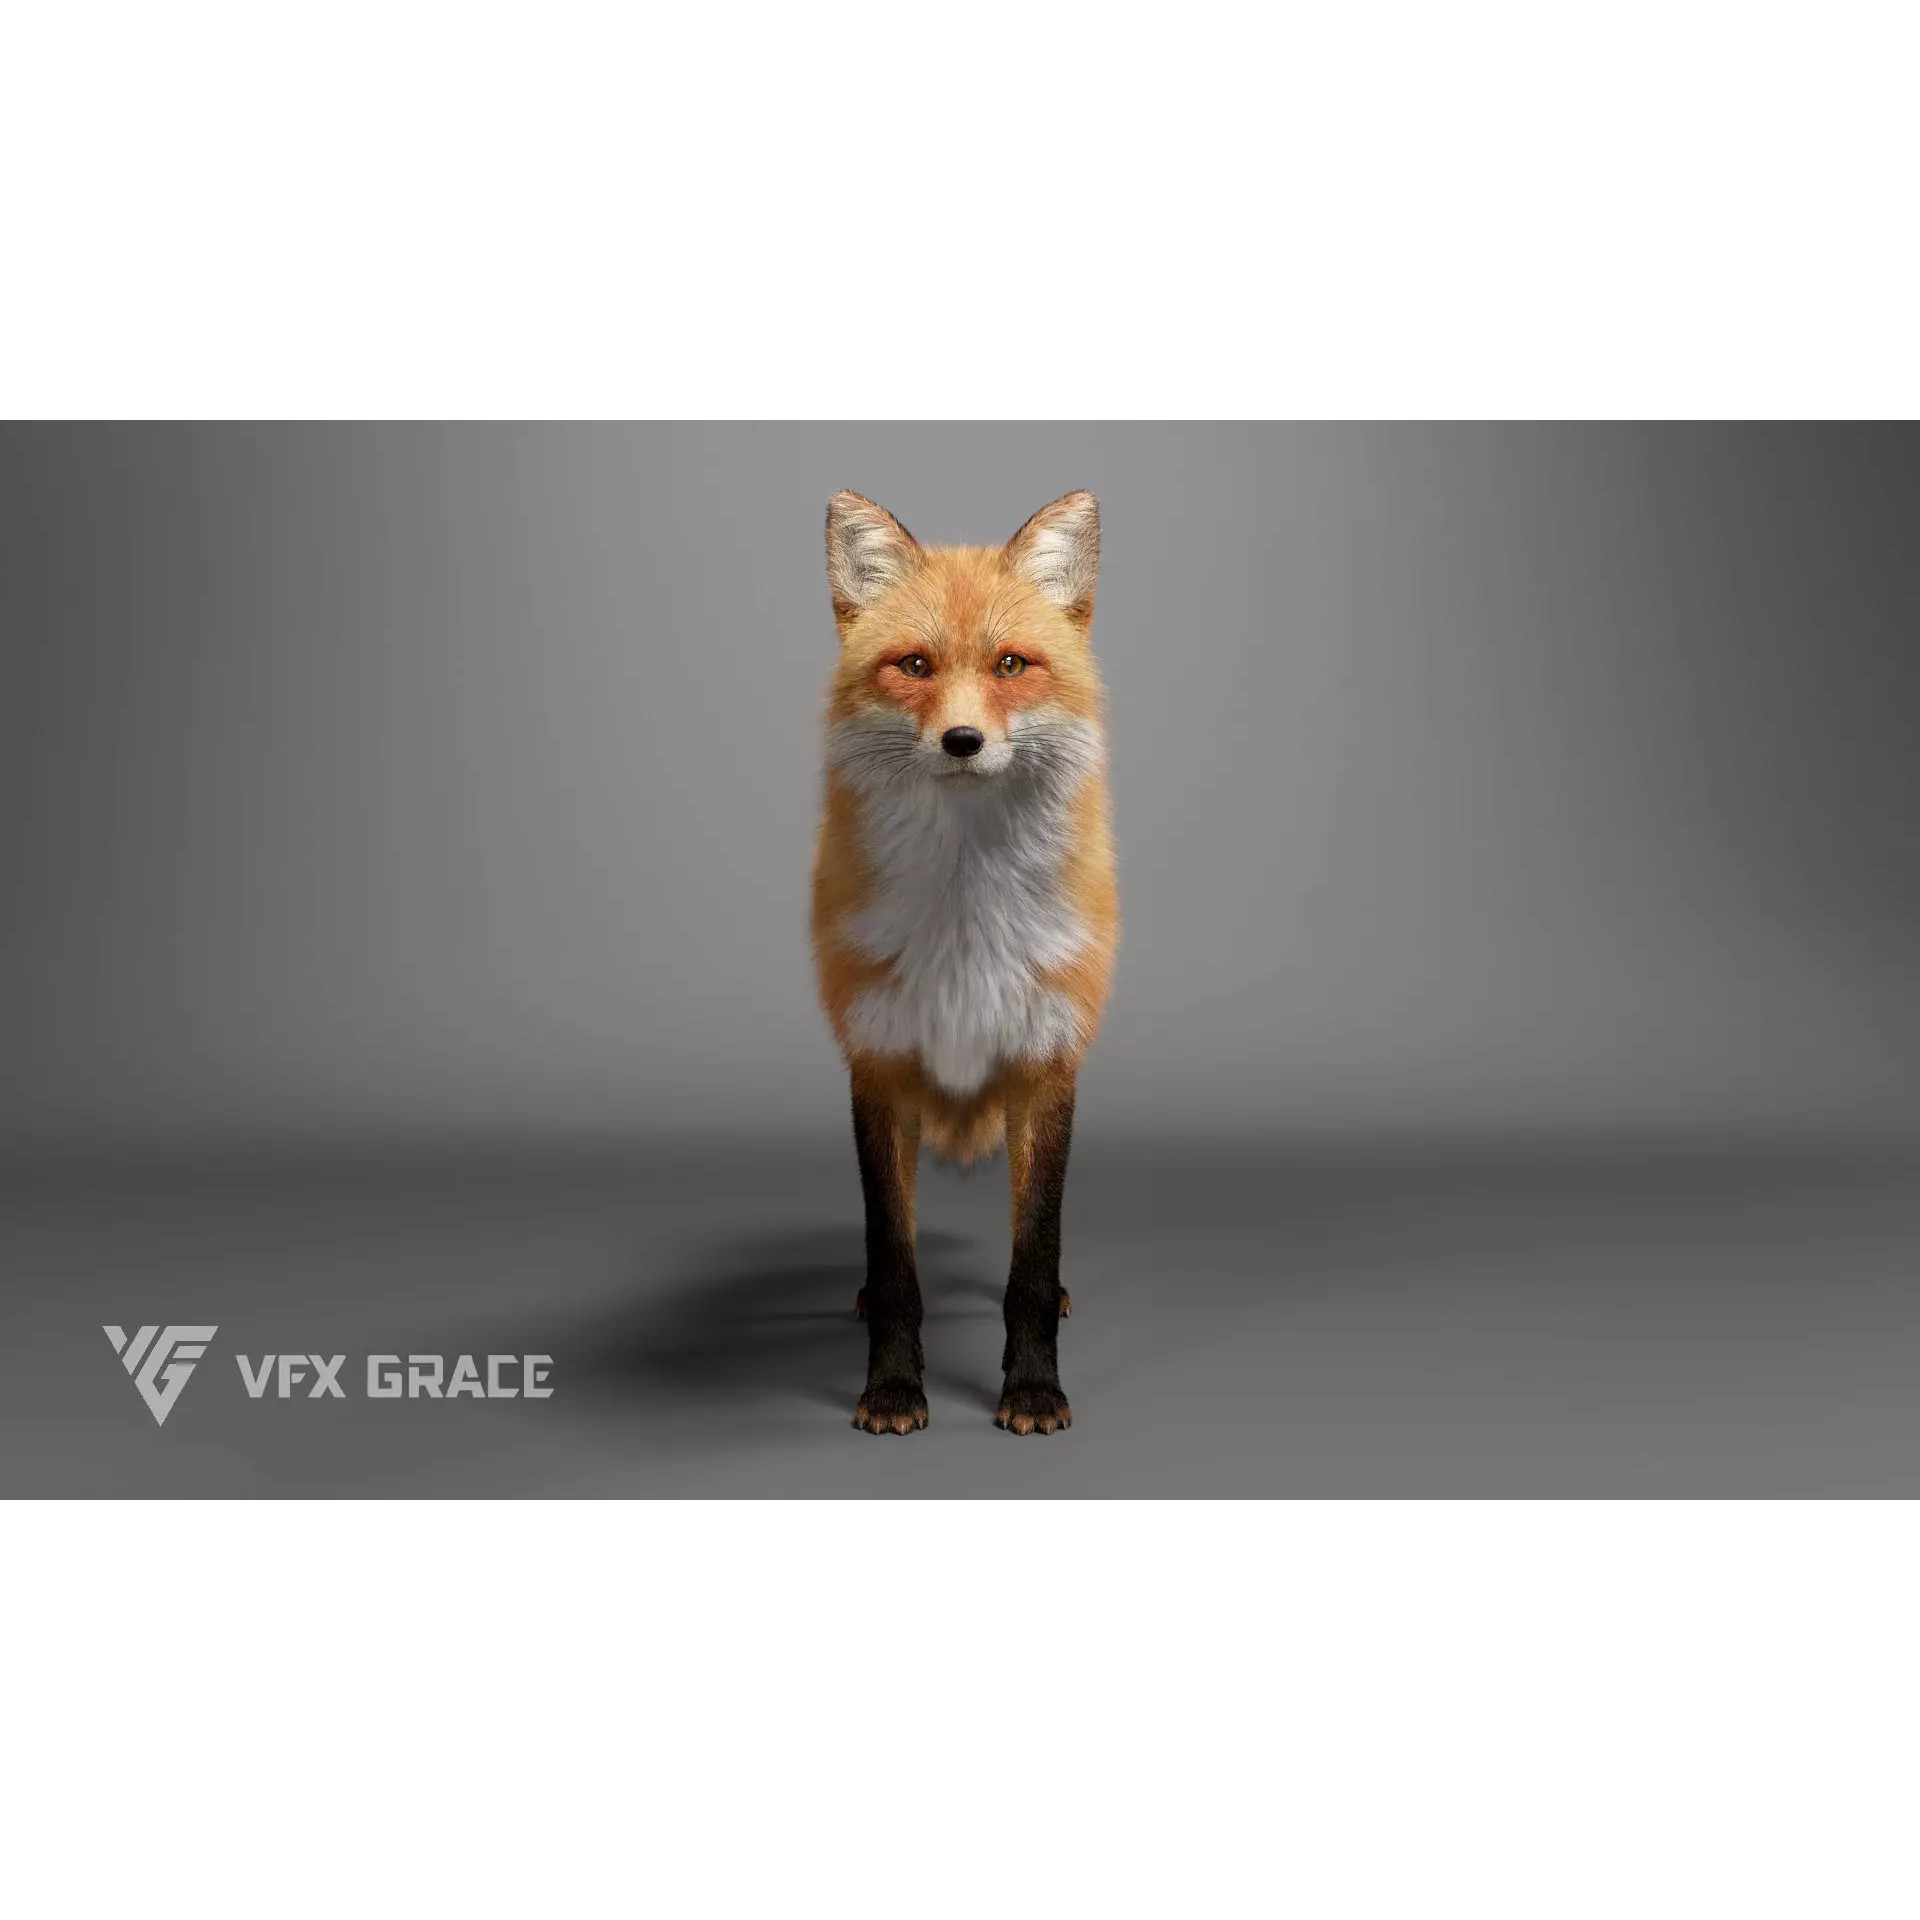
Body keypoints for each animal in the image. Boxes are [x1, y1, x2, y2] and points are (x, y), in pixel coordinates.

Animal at [812, 489, 1118, 1437]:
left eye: (1011, 664)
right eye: (913, 665)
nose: (961, 740)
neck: (966, 921)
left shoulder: (1047, 1063)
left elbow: (1030, 1261)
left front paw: (1034, 1390)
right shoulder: (877, 1065)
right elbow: (897, 1262)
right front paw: (891, 1390)